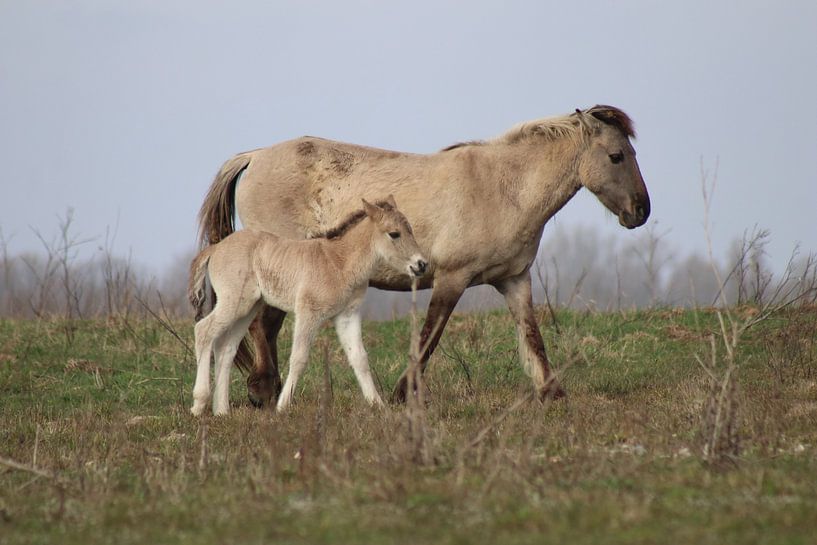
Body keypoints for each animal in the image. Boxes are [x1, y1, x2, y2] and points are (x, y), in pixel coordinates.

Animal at [188, 196, 428, 415]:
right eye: (394, 233)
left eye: (410, 229)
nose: (421, 264)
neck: (339, 262)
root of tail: (215, 249)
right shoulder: (308, 312)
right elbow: (299, 357)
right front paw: (282, 407)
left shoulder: (347, 315)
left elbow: (359, 358)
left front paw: (378, 405)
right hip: (234, 302)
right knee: (203, 331)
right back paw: (199, 404)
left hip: (248, 308)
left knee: (226, 348)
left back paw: (221, 410)